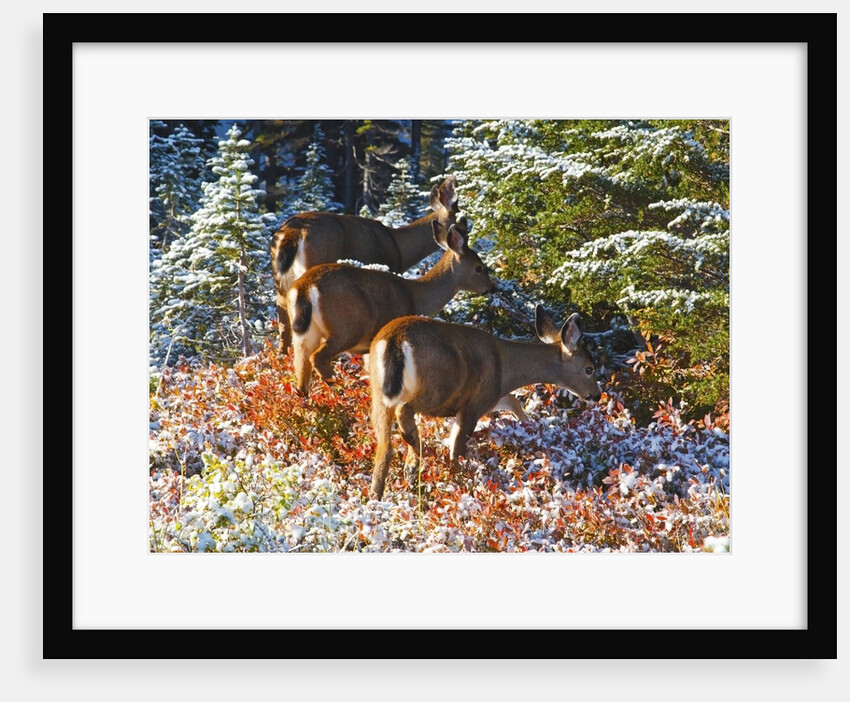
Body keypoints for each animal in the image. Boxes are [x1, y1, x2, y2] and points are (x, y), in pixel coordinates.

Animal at [287, 218, 496, 395]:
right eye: (479, 268)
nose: (492, 287)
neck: (416, 296)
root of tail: (305, 287)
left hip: (305, 333)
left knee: (301, 373)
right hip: (347, 328)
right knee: (319, 358)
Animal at [367, 306, 603, 500]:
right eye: (589, 369)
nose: (596, 395)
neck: (505, 370)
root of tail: (395, 339)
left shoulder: (491, 397)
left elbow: (513, 401)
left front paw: (530, 426)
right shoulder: (474, 404)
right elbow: (456, 452)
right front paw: (458, 483)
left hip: (379, 395)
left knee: (385, 446)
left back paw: (380, 493)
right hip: (439, 387)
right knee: (405, 410)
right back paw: (414, 456)